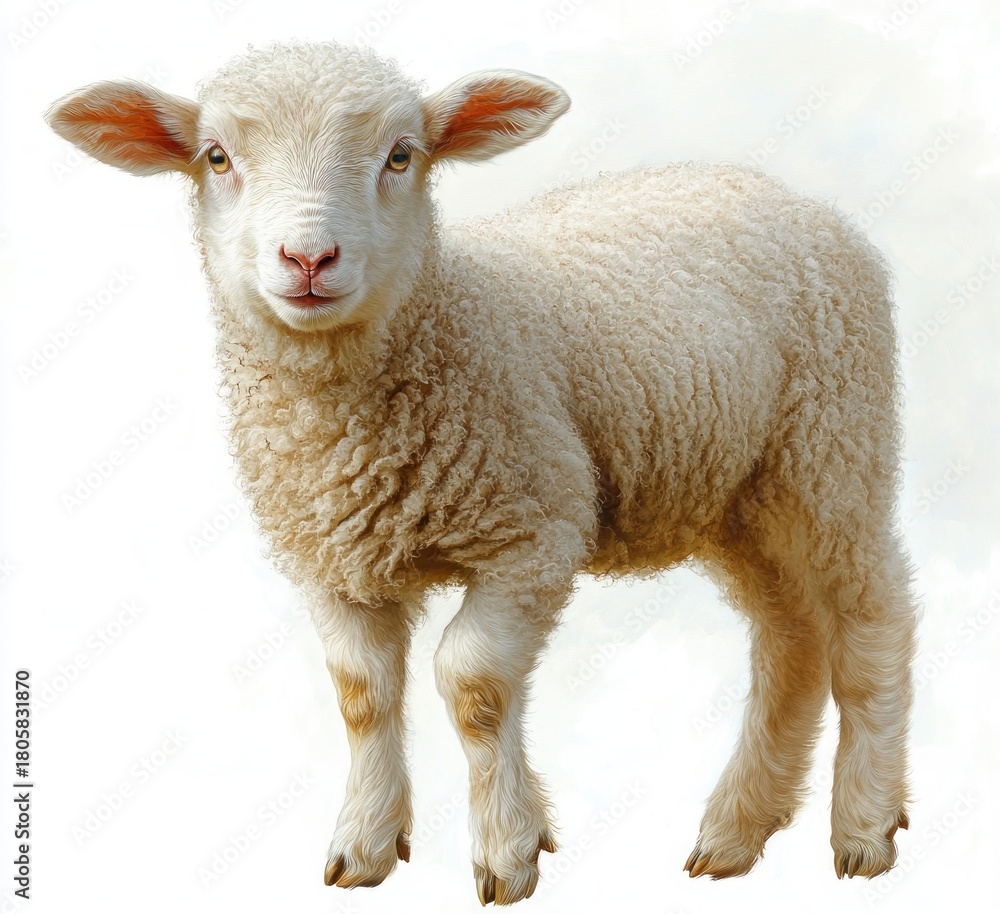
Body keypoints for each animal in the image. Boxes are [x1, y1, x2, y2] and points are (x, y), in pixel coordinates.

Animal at [46, 40, 916, 905]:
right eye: (217, 157)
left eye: (401, 155)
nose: (308, 258)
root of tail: (780, 190)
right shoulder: (329, 558)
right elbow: (360, 695)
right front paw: (364, 842)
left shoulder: (532, 536)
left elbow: (472, 685)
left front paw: (507, 848)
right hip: (738, 496)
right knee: (790, 640)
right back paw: (737, 829)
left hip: (833, 450)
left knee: (870, 621)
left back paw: (864, 825)